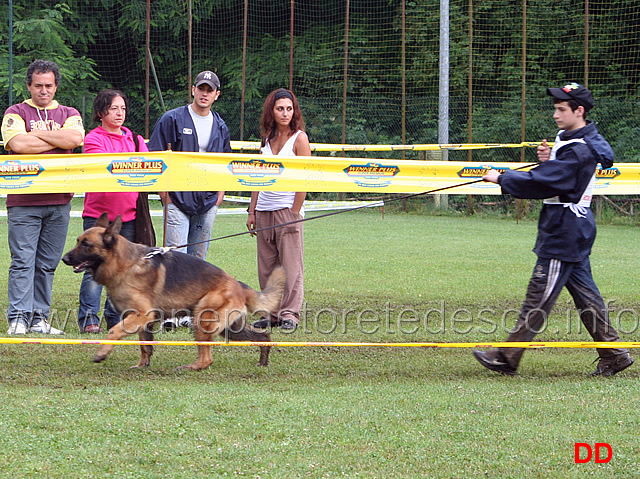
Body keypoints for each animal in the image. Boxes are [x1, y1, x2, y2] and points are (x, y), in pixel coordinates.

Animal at [62, 213, 284, 372]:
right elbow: (145, 345)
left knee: (207, 358)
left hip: (203, 321)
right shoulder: (143, 320)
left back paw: (191, 367)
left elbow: (113, 331)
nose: (64, 259)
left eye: (86, 244)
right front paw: (142, 365)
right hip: (230, 328)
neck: (126, 263)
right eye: (77, 241)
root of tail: (239, 285)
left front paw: (102, 353)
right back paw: (263, 361)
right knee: (263, 336)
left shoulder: (140, 315)